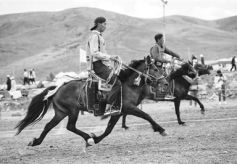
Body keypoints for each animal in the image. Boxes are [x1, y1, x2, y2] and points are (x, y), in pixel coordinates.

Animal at [14, 55, 168, 147]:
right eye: (155, 69)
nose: (165, 83)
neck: (128, 85)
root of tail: (58, 87)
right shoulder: (129, 108)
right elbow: (147, 115)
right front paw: (160, 129)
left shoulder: (118, 112)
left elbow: (109, 129)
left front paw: (97, 138)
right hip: (73, 111)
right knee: (70, 126)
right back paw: (87, 138)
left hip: (61, 112)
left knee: (49, 126)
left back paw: (35, 142)